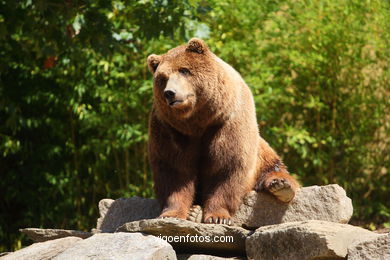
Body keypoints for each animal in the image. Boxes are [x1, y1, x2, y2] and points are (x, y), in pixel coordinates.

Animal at [146, 37, 298, 224]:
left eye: (184, 70)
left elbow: (226, 167)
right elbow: (174, 169)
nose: (170, 93)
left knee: (271, 163)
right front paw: (172, 213)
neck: (199, 119)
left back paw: (281, 185)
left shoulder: (227, 122)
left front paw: (218, 217)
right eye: (163, 78)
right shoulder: (170, 129)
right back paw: (194, 212)